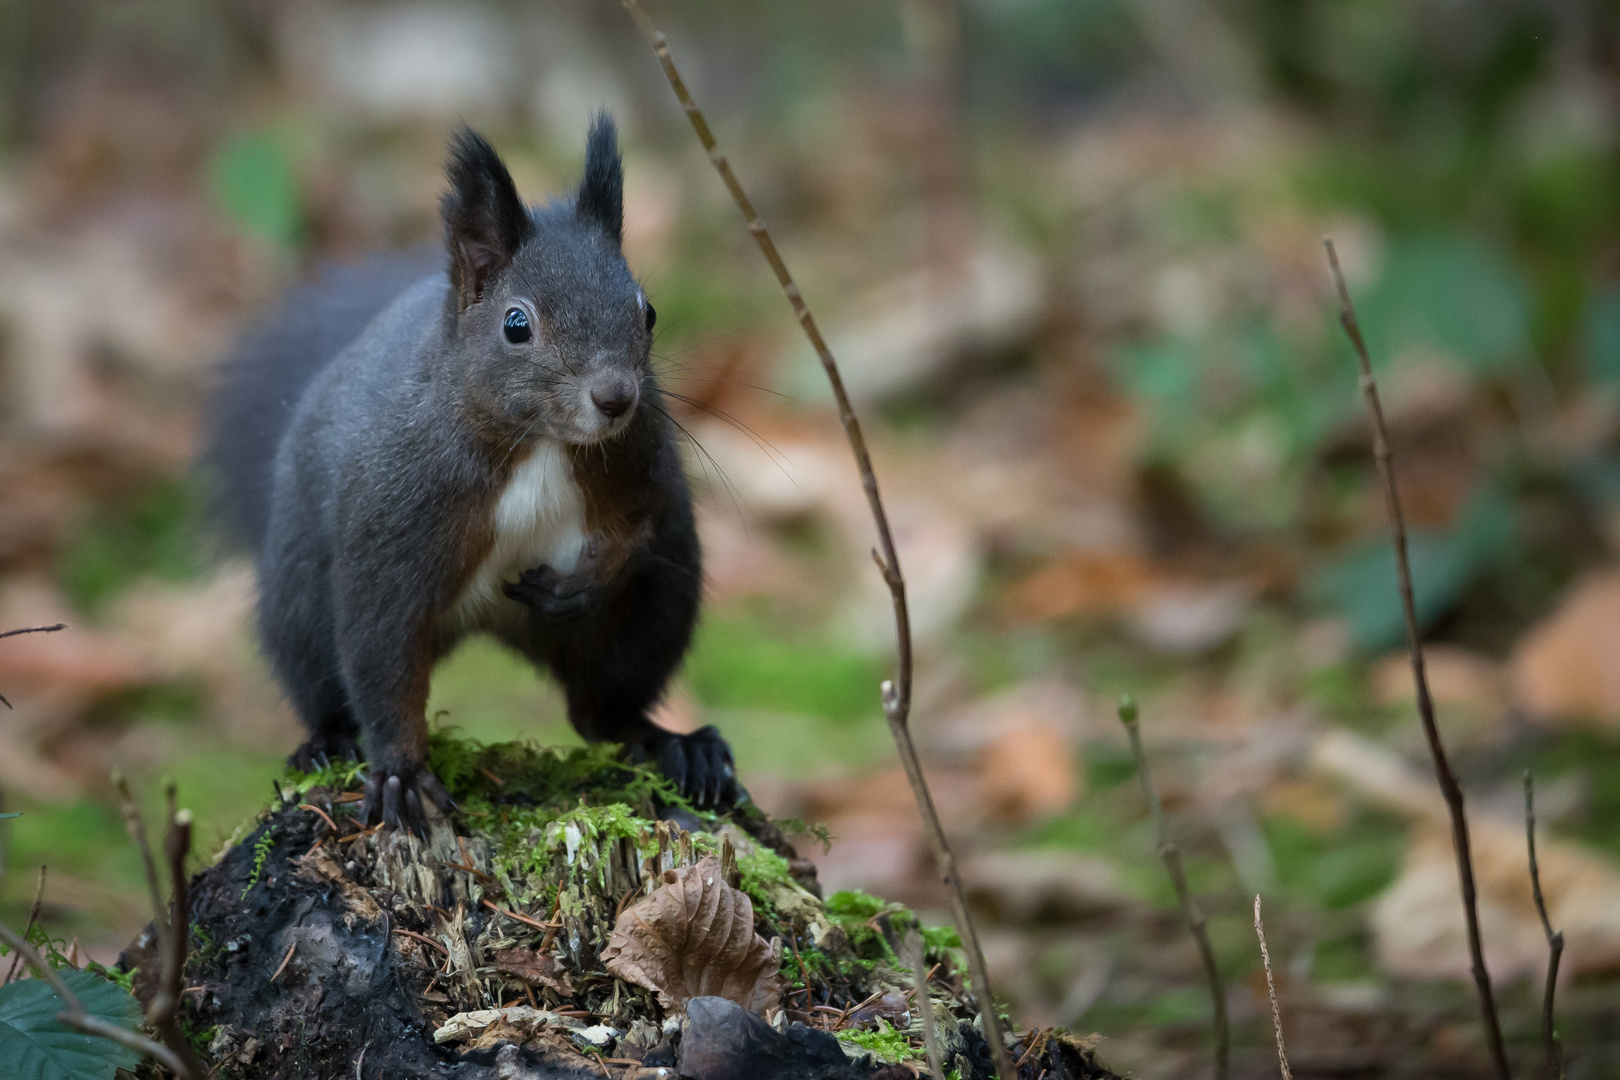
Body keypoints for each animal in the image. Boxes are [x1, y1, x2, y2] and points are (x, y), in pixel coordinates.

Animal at [208, 118, 735, 835]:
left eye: (647, 312)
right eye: (517, 324)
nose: (615, 397)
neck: (539, 443)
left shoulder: (642, 460)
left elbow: (639, 523)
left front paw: (582, 582)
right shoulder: (393, 521)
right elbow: (383, 651)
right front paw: (402, 775)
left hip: (652, 613)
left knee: (599, 711)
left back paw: (675, 746)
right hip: (299, 603)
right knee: (327, 678)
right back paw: (326, 742)